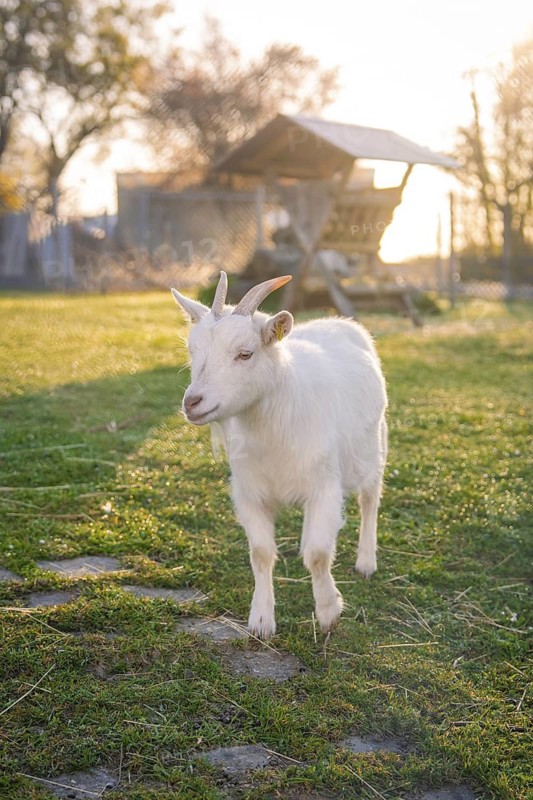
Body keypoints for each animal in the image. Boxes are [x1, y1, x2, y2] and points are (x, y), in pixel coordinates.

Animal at [171, 272, 388, 639]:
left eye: (245, 353)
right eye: (192, 350)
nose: (192, 402)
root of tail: (338, 322)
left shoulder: (325, 489)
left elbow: (317, 554)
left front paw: (329, 612)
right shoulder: (249, 494)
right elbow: (261, 553)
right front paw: (261, 620)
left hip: (374, 449)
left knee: (370, 500)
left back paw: (366, 561)